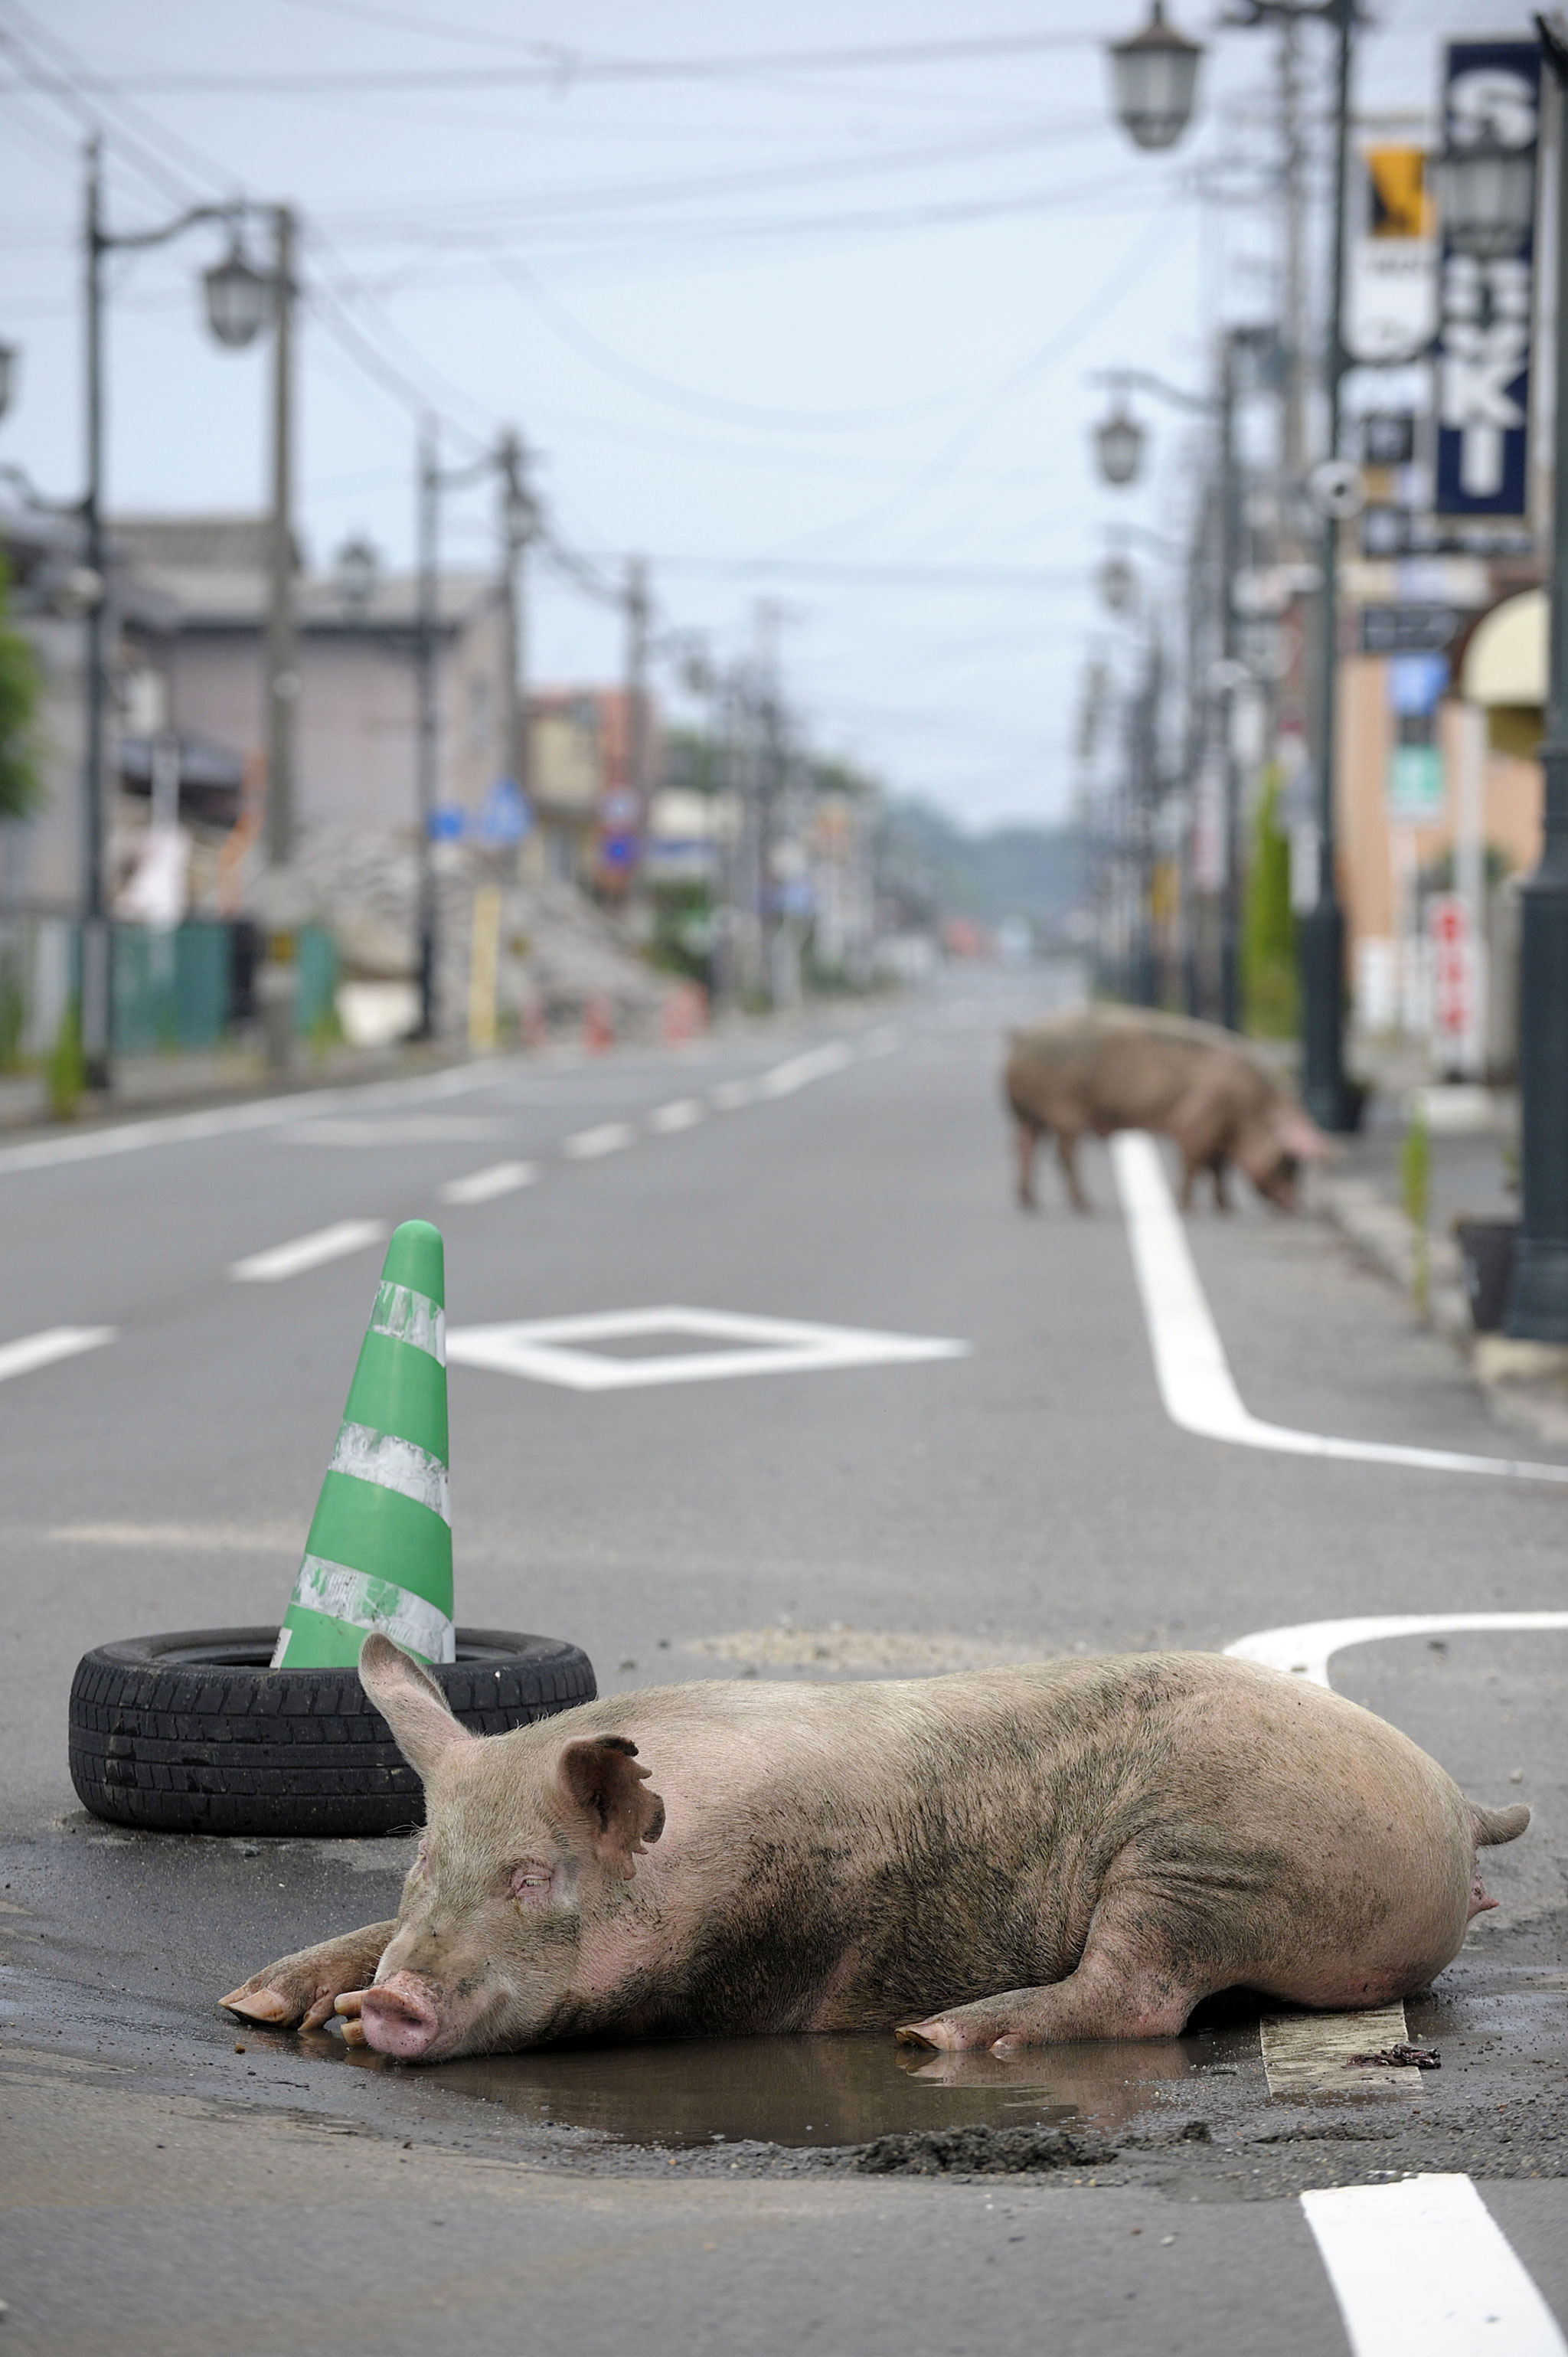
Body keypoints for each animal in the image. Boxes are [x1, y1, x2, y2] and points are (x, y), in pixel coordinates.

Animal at [214, 1640, 1518, 2064]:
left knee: (1143, 1993)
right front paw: (260, 2004)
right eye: (420, 1865)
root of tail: (1456, 1803)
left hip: (1208, 1855)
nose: (398, 2003)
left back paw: (939, 2036)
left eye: (534, 1878)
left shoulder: (747, 1968)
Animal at [1004, 1004, 1320, 1216]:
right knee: (1063, 1154)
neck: (1251, 1109)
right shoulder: (1199, 1121)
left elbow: (1220, 1169)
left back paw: (1028, 1201)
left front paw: (1226, 1207)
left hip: (1026, 1113)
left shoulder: (1221, 1135)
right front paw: (1188, 1208)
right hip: (1062, 1109)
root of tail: (1020, 1037)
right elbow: (1194, 1164)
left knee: (1024, 1145)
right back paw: (1084, 1205)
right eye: (1288, 1160)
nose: (1297, 1206)